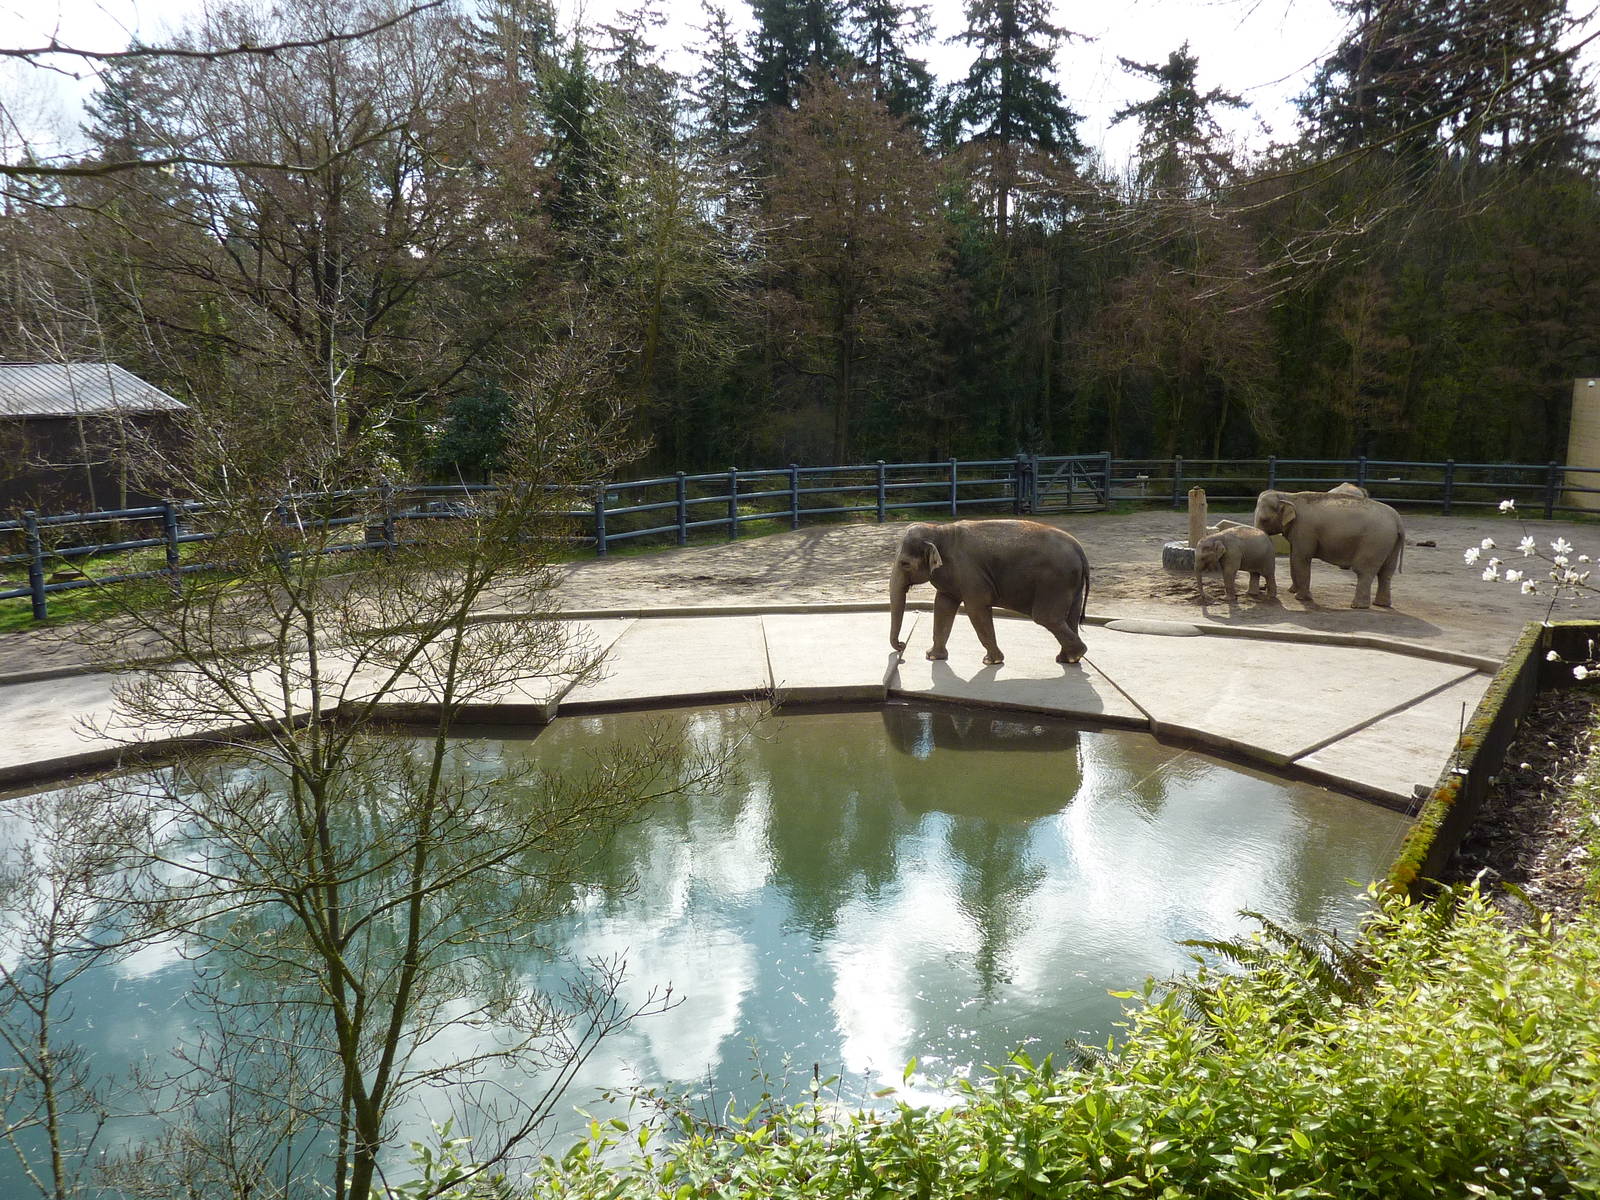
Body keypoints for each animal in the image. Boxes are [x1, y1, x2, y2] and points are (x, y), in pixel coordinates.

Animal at [888, 519, 1091, 666]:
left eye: (905, 564)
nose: (902, 646)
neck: (939, 530)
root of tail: (1079, 549)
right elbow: (943, 606)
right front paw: (933, 657)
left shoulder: (970, 574)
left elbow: (976, 609)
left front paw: (991, 661)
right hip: (1071, 585)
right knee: (1069, 617)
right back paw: (1067, 659)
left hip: (1055, 582)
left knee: (1046, 617)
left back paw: (1075, 654)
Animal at [1252, 489, 1404, 608]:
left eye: (1264, 519)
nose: (1263, 588)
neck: (1288, 495)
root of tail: (1397, 520)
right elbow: (1293, 557)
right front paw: (1292, 591)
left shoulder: (1304, 529)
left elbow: (1300, 558)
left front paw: (1301, 598)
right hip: (1390, 543)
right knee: (1386, 572)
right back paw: (1381, 604)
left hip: (1374, 541)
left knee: (1364, 571)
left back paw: (1358, 606)